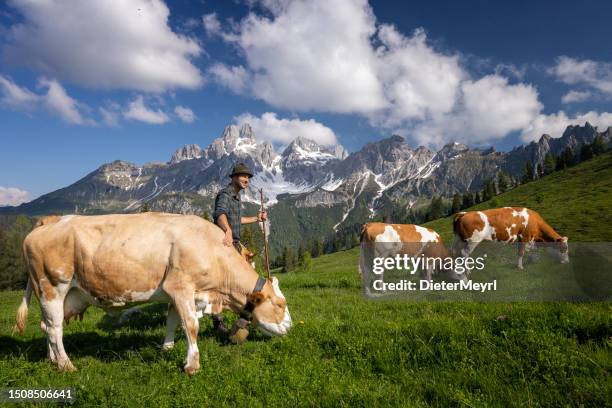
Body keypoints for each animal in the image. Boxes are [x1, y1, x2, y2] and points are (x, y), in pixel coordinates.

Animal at [14, 212, 292, 374]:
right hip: (51, 287)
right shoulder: (180, 287)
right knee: (54, 328)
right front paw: (192, 365)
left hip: (69, 295)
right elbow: (191, 326)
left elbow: (173, 322)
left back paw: (52, 360)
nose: (290, 326)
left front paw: (167, 349)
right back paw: (66, 365)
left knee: (47, 325)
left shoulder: (175, 294)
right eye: (280, 304)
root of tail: (50, 220)